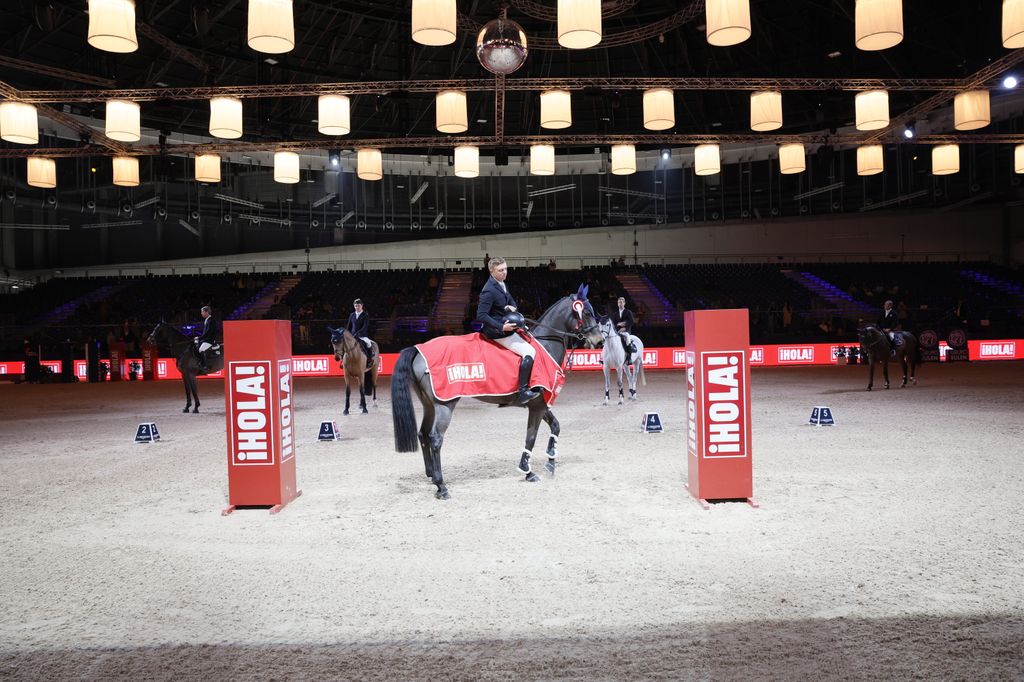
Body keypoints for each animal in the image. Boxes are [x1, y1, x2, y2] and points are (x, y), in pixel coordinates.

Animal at [389, 284, 598, 497]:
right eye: (587, 312)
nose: (598, 339)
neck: (546, 344)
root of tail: (418, 348)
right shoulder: (537, 405)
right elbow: (531, 437)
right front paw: (527, 471)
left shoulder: (540, 402)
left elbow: (555, 426)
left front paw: (550, 463)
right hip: (444, 405)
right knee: (435, 439)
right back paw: (441, 486)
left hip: (428, 404)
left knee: (423, 434)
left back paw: (431, 475)